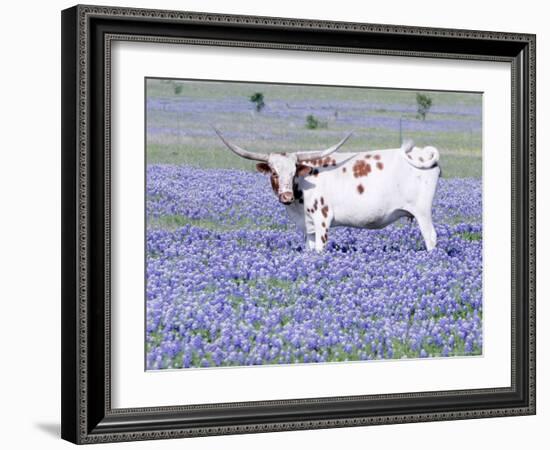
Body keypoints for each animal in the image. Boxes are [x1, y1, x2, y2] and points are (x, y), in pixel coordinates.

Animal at [213, 128, 442, 251]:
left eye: (294, 171)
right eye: (274, 173)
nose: (286, 196)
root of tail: (422, 153)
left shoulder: (322, 220)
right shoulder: (308, 227)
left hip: (423, 212)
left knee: (431, 238)